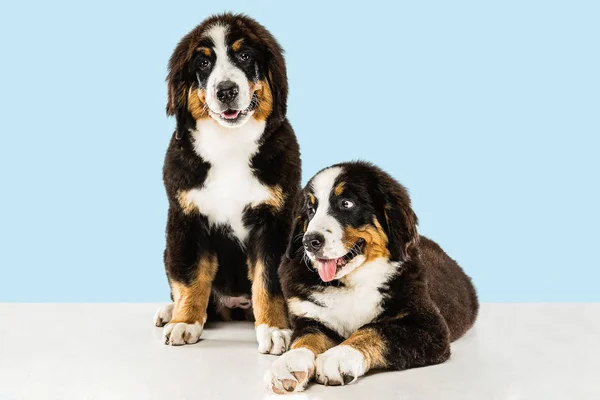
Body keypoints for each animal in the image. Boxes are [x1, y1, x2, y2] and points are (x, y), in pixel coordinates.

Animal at [155, 13, 302, 356]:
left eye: (245, 56)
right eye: (203, 63)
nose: (225, 91)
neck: (229, 146)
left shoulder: (275, 221)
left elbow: (268, 280)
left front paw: (274, 328)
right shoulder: (188, 219)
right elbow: (192, 277)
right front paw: (184, 321)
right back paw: (170, 311)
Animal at [264, 161, 476, 392]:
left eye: (346, 204)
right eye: (311, 210)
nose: (310, 241)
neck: (352, 282)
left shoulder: (428, 326)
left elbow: (374, 330)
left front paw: (338, 357)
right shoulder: (310, 317)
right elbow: (306, 338)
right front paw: (290, 363)